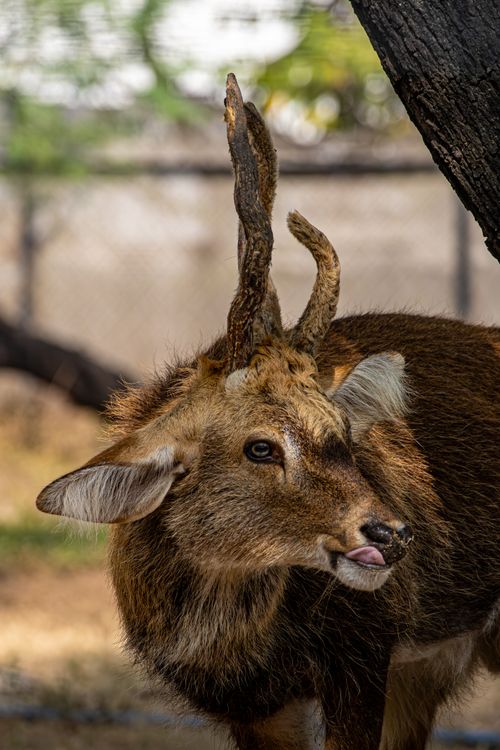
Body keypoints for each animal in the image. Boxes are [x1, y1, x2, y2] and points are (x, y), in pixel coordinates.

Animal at [36, 74, 500, 750]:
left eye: (342, 433)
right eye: (260, 446)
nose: (391, 533)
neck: (238, 653)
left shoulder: (365, 654)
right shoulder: (254, 708)